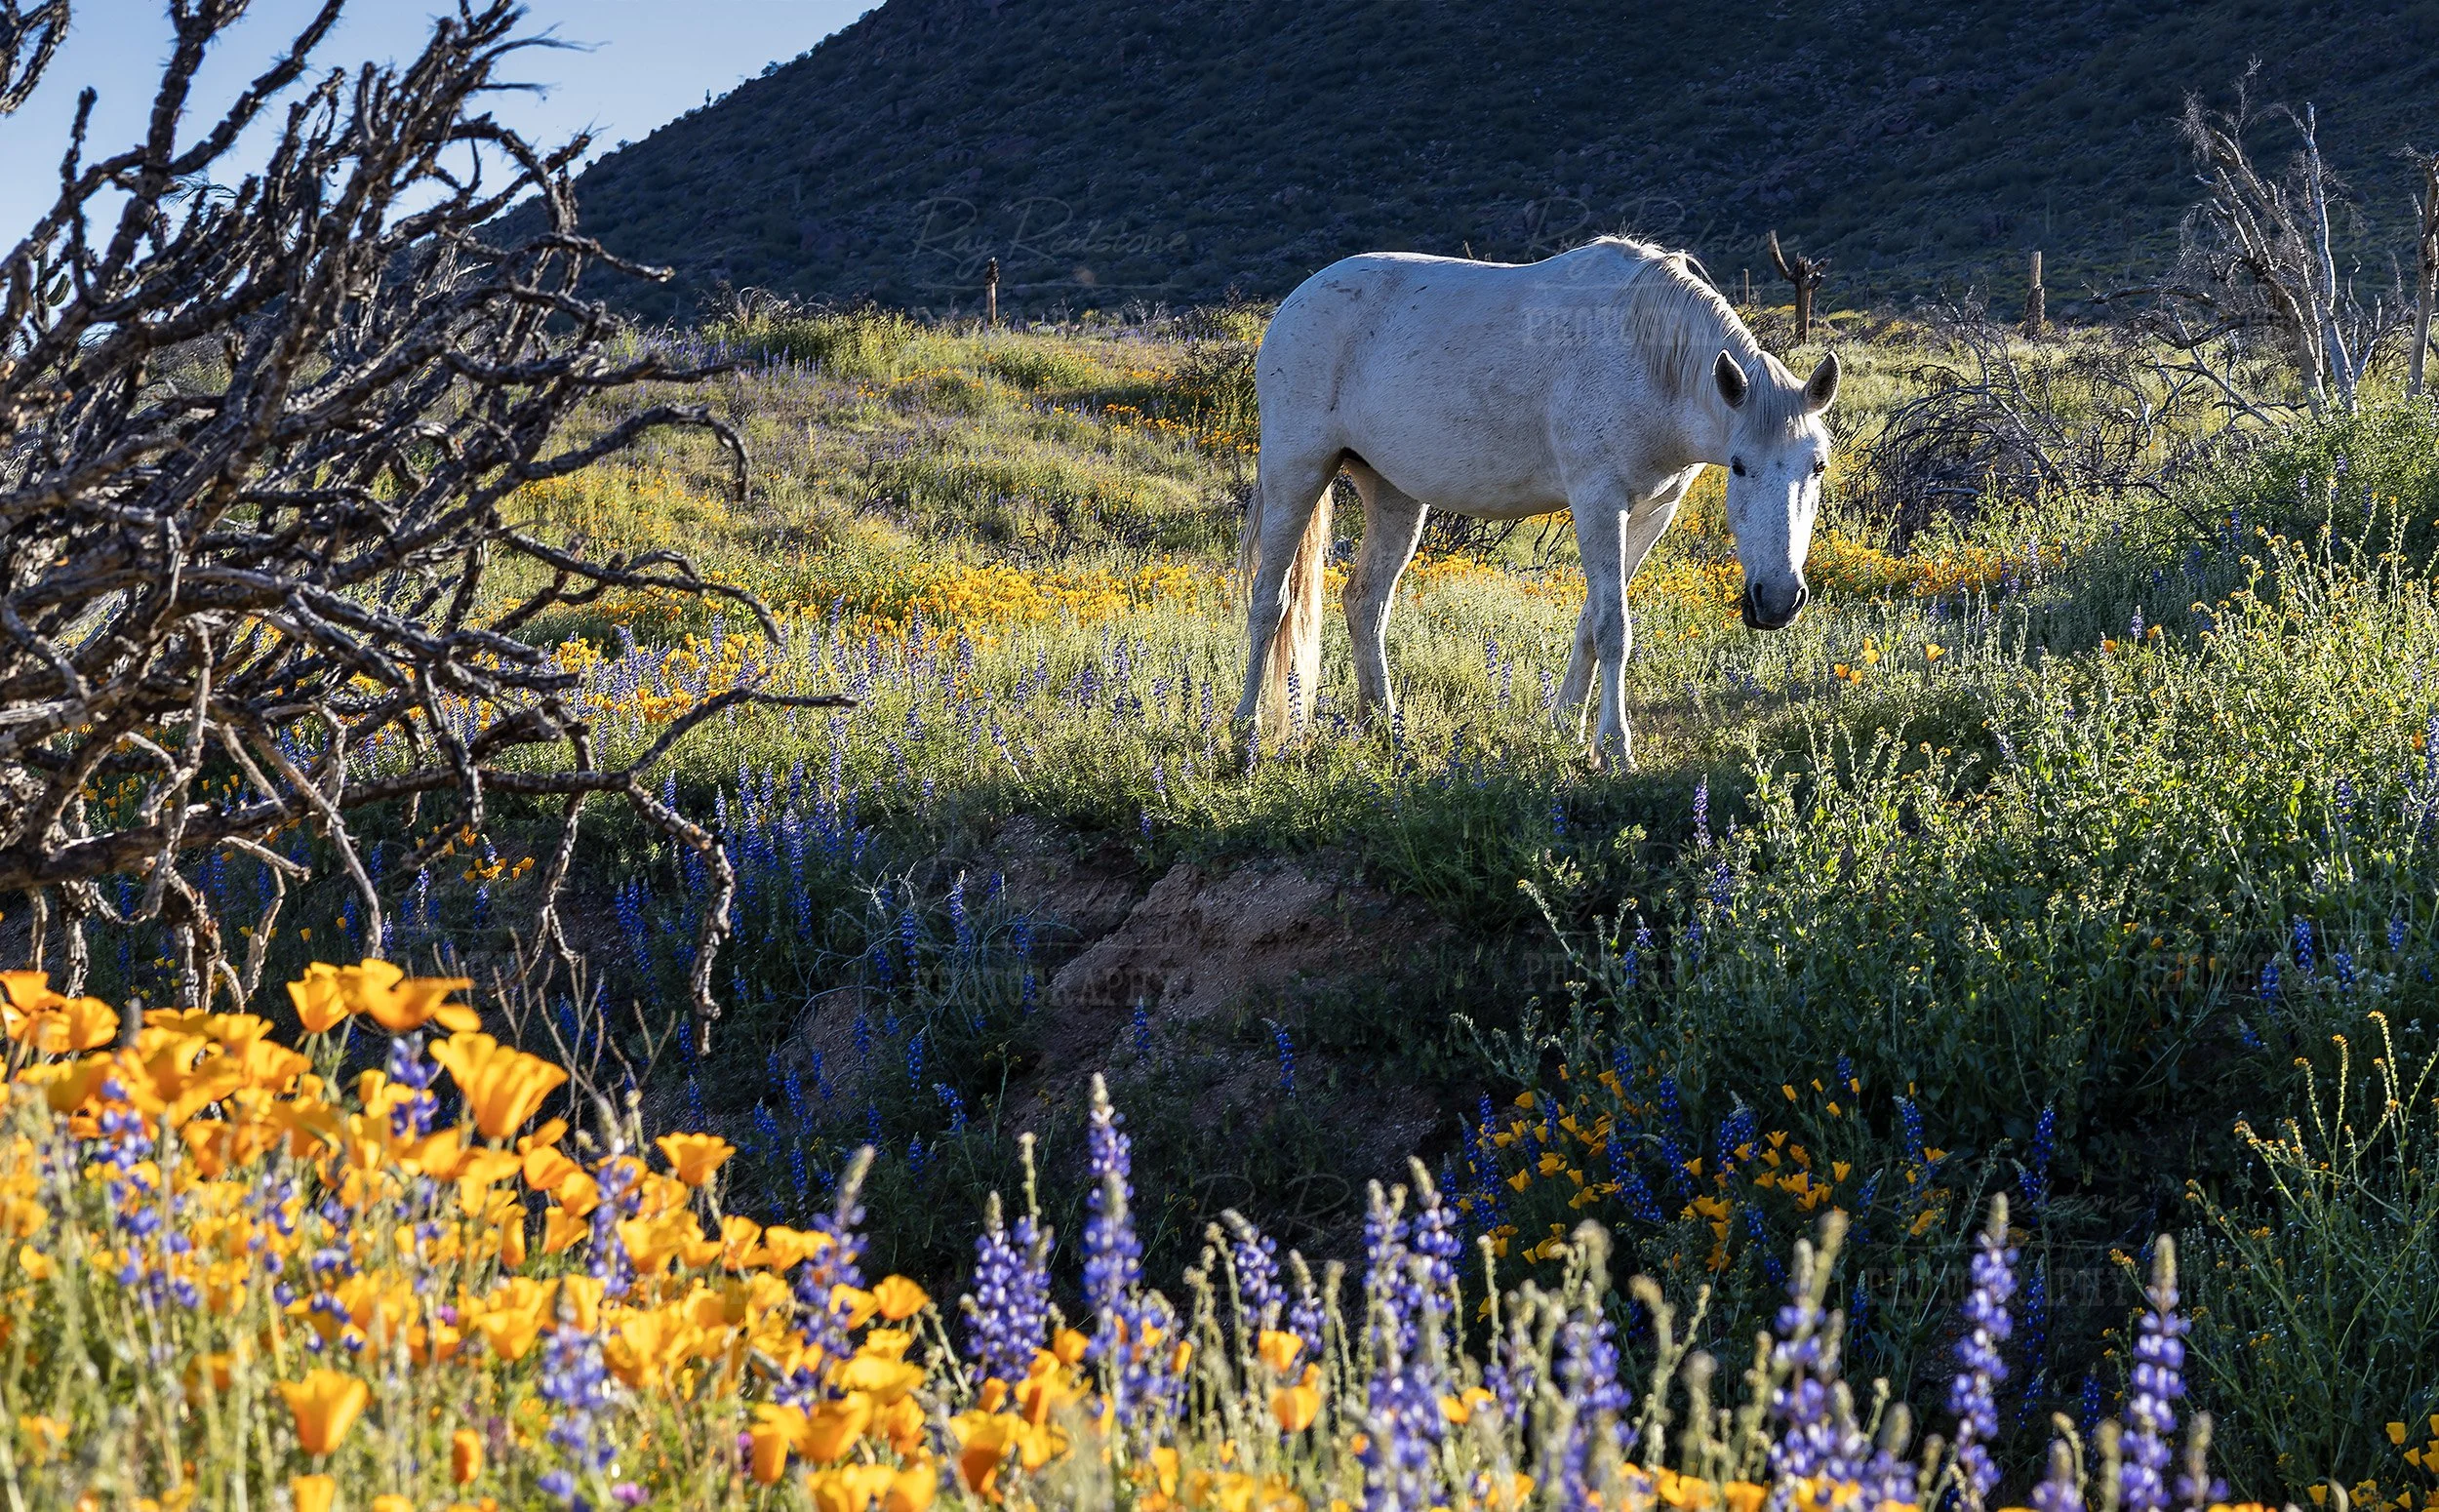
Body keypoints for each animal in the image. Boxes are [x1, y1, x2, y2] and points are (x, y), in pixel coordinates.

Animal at [1233, 235, 1840, 766]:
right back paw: (1245, 735)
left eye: (1818, 465)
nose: (1778, 600)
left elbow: (1592, 620)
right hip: (1296, 475)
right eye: (1739, 466)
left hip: (1394, 495)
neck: (1648, 356)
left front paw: (1567, 726)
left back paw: (1389, 731)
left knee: (1365, 602)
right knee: (1269, 602)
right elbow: (1613, 626)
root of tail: (1296, 303)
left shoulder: (1652, 511)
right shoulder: (1599, 500)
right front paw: (1615, 747)